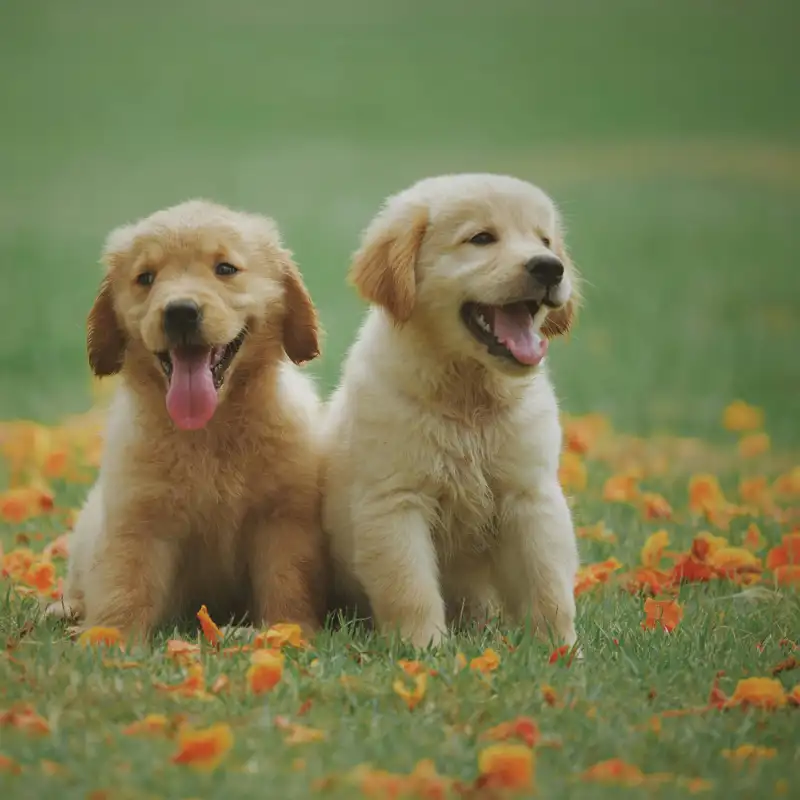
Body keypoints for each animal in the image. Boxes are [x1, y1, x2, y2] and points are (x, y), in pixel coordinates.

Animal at [48, 198, 324, 636]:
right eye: (145, 278)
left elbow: (287, 580)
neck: (208, 432)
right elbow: (124, 583)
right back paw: (66, 609)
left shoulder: (283, 518)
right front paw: (107, 636)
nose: (179, 312)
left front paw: (286, 630)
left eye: (225, 269)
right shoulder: (138, 518)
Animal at [322, 172, 580, 648]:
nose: (550, 267)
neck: (468, 398)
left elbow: (549, 584)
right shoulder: (395, 502)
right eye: (481, 239)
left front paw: (562, 651)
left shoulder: (530, 496)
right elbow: (410, 587)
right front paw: (424, 650)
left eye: (545, 240)